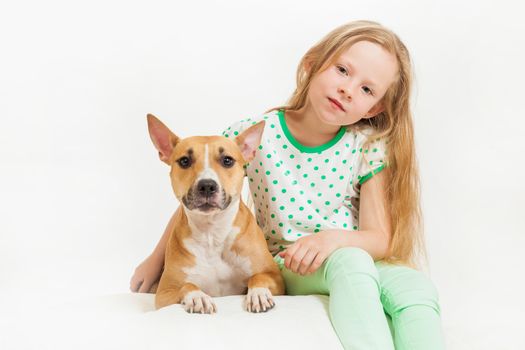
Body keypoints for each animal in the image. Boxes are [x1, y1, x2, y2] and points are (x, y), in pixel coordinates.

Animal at [145, 113, 284, 314]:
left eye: (227, 160)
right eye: (184, 161)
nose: (207, 186)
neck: (212, 233)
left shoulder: (275, 277)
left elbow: (258, 277)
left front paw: (258, 294)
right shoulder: (164, 292)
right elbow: (187, 285)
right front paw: (198, 297)